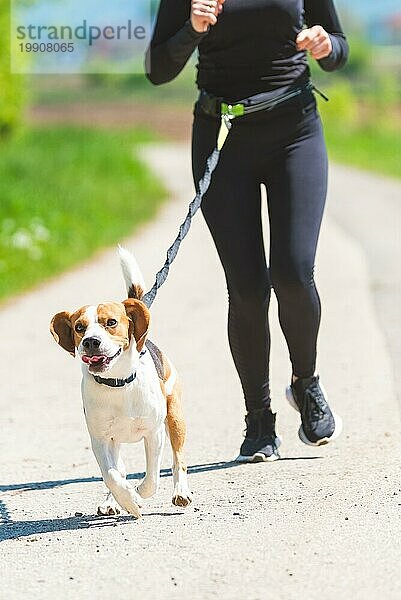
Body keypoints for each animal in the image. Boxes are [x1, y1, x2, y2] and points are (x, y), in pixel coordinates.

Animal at [50, 246, 192, 516]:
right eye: (79, 327)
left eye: (111, 322)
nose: (91, 341)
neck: (117, 384)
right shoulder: (100, 439)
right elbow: (112, 475)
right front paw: (127, 500)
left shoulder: (154, 433)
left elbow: (152, 478)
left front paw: (138, 494)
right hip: (115, 441)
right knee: (119, 470)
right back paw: (112, 501)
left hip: (175, 415)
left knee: (178, 458)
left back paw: (180, 492)